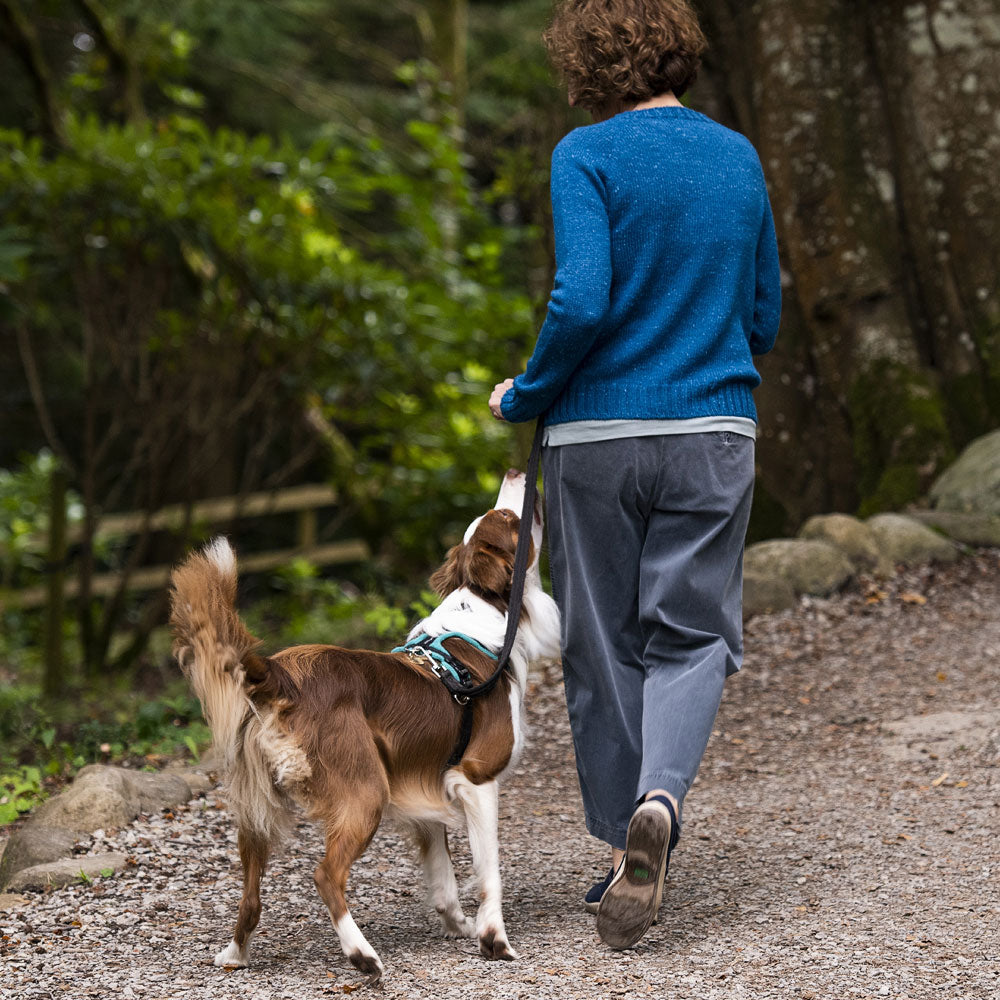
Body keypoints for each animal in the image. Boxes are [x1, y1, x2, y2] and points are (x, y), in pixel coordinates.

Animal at [171, 472, 564, 980]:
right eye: (507, 517)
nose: (517, 475)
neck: (487, 615)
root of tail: (280, 674)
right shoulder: (476, 779)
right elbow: (488, 871)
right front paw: (493, 937)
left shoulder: (424, 785)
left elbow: (443, 875)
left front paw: (459, 925)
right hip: (365, 792)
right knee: (325, 875)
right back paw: (362, 955)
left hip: (257, 808)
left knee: (251, 894)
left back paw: (236, 955)